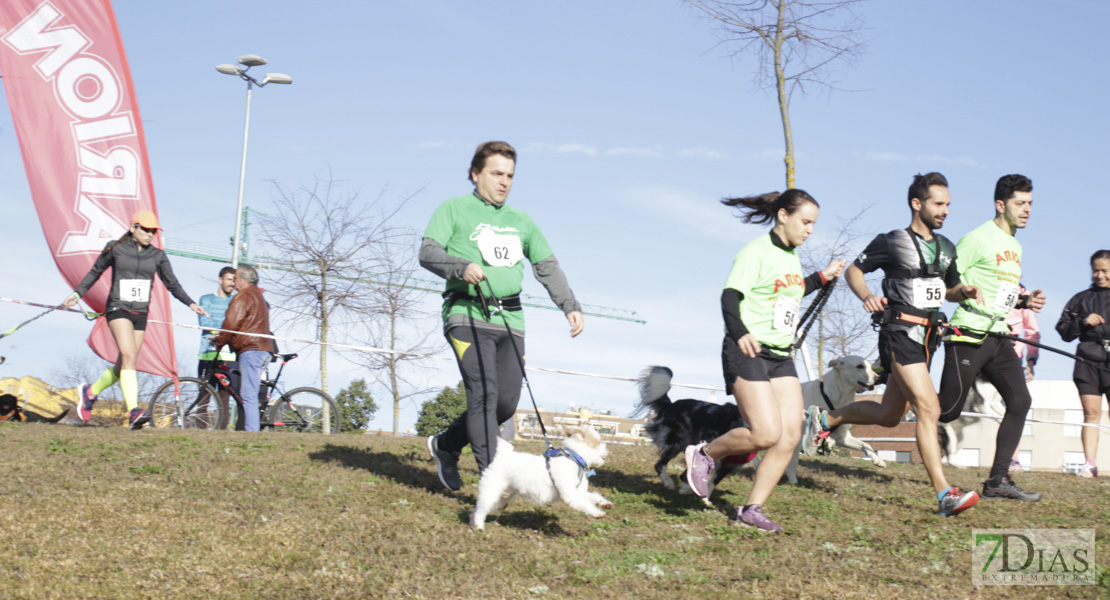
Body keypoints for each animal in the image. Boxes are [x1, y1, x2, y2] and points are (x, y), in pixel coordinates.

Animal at [466, 423, 612, 530]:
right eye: (599, 441)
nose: (607, 451)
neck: (574, 459)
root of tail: (502, 456)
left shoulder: (578, 491)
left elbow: (593, 496)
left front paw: (604, 503)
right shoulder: (570, 494)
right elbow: (585, 504)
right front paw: (597, 513)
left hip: (502, 498)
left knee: (478, 508)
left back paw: (473, 522)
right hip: (491, 490)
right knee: (481, 509)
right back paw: (479, 526)